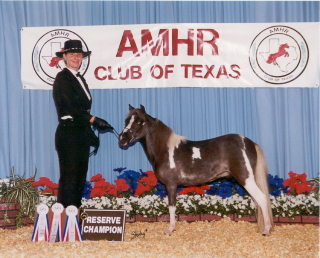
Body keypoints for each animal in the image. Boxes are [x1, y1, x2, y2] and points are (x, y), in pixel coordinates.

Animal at [119, 104, 274, 236]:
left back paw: (266, 230)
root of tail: (249, 142)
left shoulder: (171, 185)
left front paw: (170, 229)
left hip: (246, 179)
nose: (122, 138)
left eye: (140, 122)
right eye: (126, 121)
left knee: (261, 198)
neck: (165, 150)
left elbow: (171, 207)